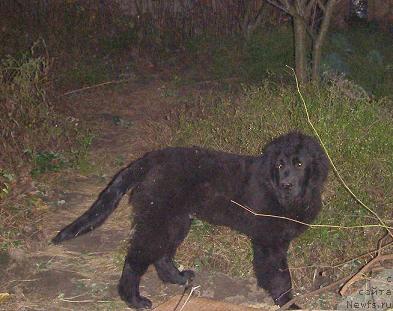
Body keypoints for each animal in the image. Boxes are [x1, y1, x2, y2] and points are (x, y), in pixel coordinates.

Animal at [52, 132, 328, 310]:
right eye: (279, 165)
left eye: (299, 164)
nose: (286, 184)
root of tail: (149, 159)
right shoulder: (270, 241)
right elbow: (281, 277)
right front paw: (289, 304)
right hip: (159, 219)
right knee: (136, 258)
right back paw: (134, 300)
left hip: (175, 219)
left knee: (162, 255)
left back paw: (179, 279)